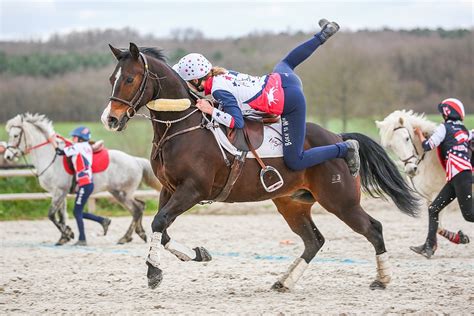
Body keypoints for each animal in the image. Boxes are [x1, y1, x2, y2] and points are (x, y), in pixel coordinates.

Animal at [3, 113, 163, 244]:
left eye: (16, 135)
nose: (8, 156)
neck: (51, 157)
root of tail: (135, 160)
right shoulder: (59, 193)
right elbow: (61, 215)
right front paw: (64, 236)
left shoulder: (59, 192)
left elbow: (52, 215)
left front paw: (68, 233)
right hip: (119, 193)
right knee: (139, 207)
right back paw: (136, 234)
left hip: (122, 193)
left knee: (136, 209)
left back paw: (126, 237)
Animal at [101, 42, 418, 292]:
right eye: (111, 78)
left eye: (129, 79)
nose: (110, 119)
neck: (181, 127)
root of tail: (337, 136)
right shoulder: (169, 189)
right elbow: (162, 226)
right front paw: (197, 253)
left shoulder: (192, 190)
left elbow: (159, 222)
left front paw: (154, 271)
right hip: (291, 203)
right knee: (313, 241)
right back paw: (284, 281)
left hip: (341, 201)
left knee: (373, 228)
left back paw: (382, 278)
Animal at [376, 110, 468, 246]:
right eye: (391, 146)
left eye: (407, 138)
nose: (410, 170)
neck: (429, 158)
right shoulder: (429, 196)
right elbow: (438, 226)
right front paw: (460, 238)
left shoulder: (438, 193)